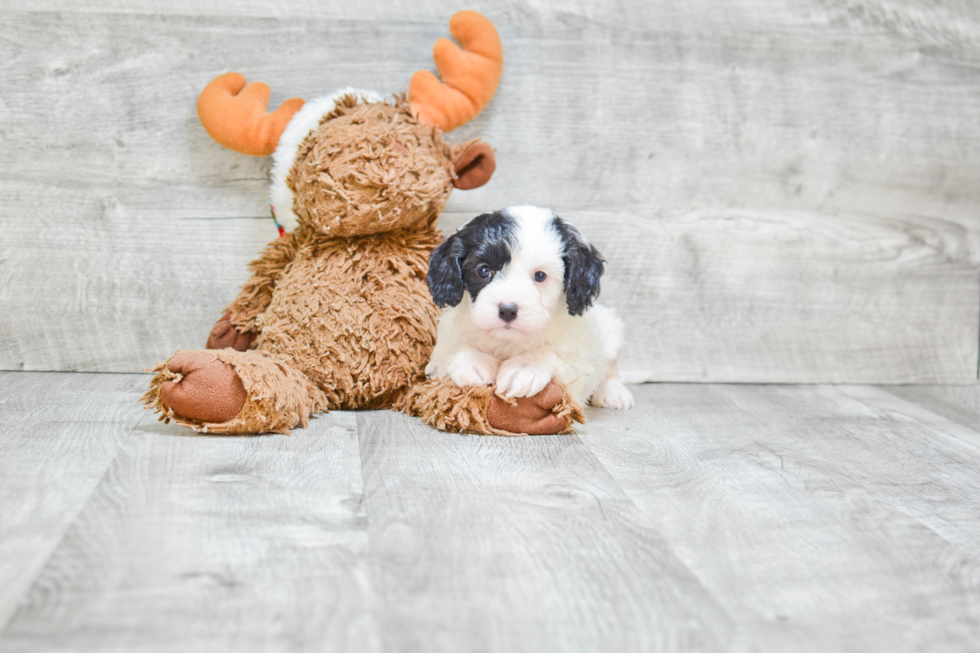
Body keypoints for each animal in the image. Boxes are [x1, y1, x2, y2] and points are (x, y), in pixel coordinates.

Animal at [424, 204, 632, 408]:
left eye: (540, 276)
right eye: (484, 270)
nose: (508, 310)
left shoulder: (580, 362)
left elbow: (550, 355)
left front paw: (524, 367)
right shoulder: (444, 345)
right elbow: (452, 351)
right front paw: (473, 361)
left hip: (611, 329)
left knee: (610, 367)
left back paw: (612, 391)